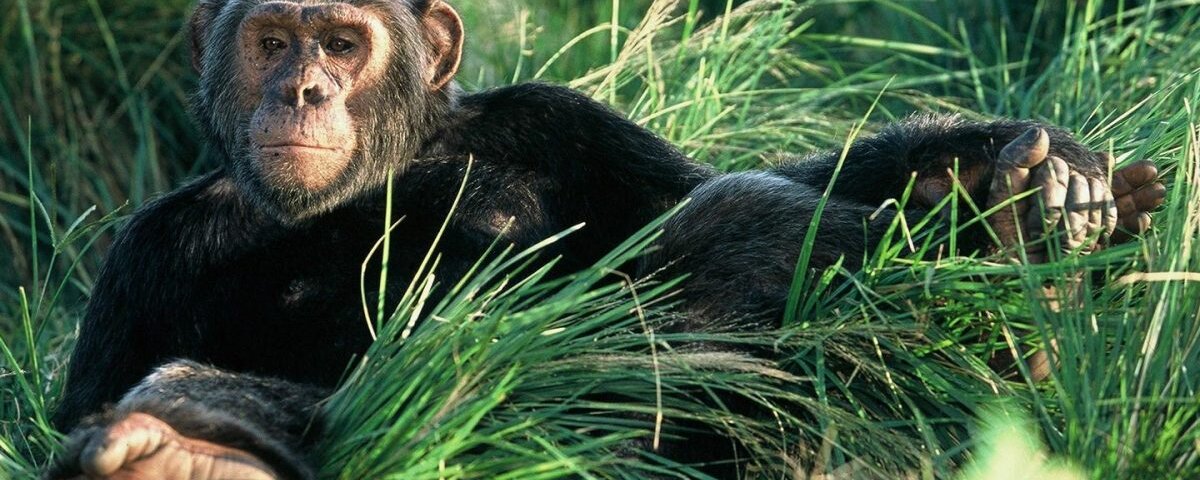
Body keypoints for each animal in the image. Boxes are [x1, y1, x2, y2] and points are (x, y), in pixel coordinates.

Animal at [45, 1, 1165, 478]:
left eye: (342, 42)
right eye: (273, 41)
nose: (302, 89)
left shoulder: (561, 120)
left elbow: (703, 186)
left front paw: (1025, 167)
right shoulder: (146, 257)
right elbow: (81, 405)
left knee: (732, 216)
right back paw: (184, 452)